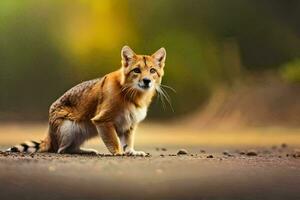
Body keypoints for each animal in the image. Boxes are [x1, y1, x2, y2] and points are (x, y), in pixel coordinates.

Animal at [6, 45, 166, 156]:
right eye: (136, 70)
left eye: (152, 71)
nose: (146, 81)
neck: (131, 93)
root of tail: (50, 136)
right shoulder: (102, 121)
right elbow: (114, 140)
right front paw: (118, 153)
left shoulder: (129, 125)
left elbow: (128, 141)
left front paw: (131, 151)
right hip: (70, 127)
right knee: (61, 150)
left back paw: (87, 150)